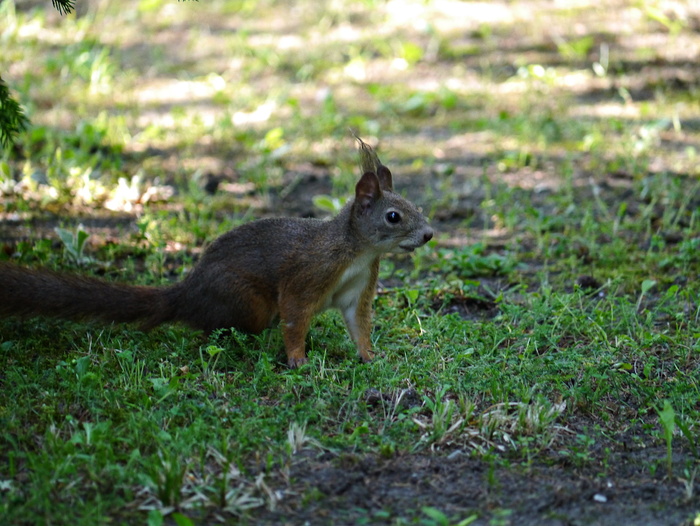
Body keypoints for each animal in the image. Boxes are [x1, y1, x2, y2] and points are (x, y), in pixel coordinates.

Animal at [0, 139, 434, 368]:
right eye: (393, 216)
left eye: (417, 206)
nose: (429, 234)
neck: (357, 252)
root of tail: (187, 293)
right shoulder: (308, 274)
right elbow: (295, 318)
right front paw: (298, 361)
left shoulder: (359, 287)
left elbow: (359, 324)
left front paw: (371, 356)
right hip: (247, 301)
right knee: (213, 328)